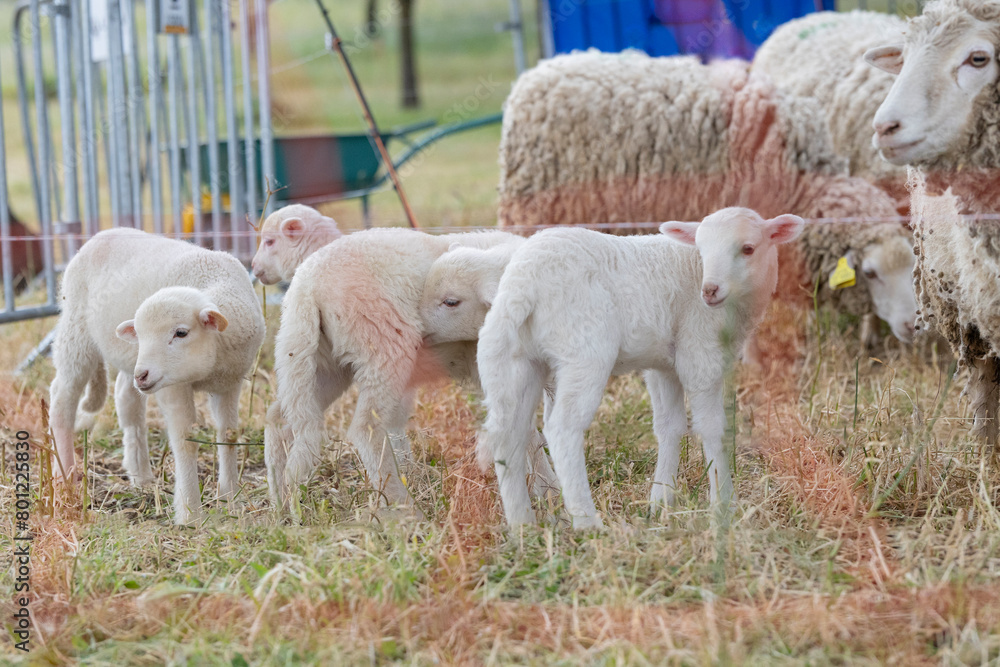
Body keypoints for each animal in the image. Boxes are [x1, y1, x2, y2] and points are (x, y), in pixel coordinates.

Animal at [49, 228, 265, 524]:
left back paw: (140, 475)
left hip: (127, 358)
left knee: (126, 399)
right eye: (140, 334)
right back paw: (64, 476)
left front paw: (231, 498)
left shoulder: (229, 383)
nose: (143, 375)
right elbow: (184, 441)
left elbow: (228, 436)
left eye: (181, 333)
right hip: (77, 329)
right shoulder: (173, 387)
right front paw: (190, 514)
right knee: (63, 398)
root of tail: (102, 235)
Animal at [264, 227, 550, 515]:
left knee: (280, 420)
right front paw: (547, 493)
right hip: (384, 351)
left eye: (450, 302)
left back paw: (282, 503)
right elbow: (527, 431)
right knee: (366, 429)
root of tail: (305, 286)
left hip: (319, 362)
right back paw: (405, 510)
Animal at [476, 207, 803, 529]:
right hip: (584, 351)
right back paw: (587, 523)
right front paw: (723, 506)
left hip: (512, 356)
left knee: (508, 434)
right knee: (562, 429)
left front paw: (661, 503)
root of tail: (523, 283)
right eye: (701, 250)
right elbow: (712, 428)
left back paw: (522, 525)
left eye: (748, 249)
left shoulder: (663, 364)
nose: (710, 291)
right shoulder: (700, 352)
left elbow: (670, 426)